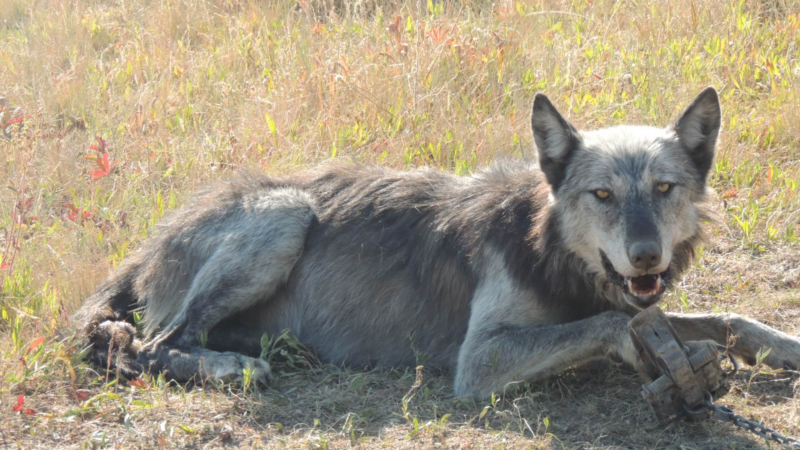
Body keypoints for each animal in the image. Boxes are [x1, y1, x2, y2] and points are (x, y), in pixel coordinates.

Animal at [75, 88, 800, 398]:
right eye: (603, 196)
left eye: (664, 189)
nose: (647, 256)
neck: (550, 251)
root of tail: (145, 246)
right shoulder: (480, 361)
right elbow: (611, 326)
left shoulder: (639, 299)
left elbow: (724, 318)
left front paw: (782, 347)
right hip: (286, 213)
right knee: (151, 346)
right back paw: (233, 370)